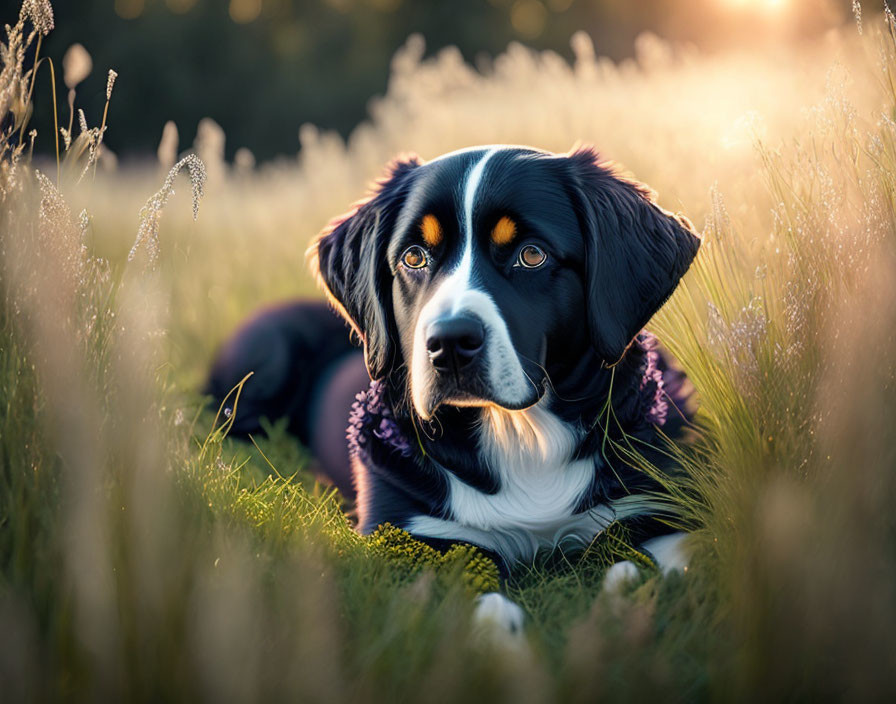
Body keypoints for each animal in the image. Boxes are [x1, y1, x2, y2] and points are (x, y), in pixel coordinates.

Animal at [208, 143, 700, 632]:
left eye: (531, 255)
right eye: (413, 257)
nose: (448, 343)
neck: (520, 437)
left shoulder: (656, 507)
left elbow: (662, 566)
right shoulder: (410, 534)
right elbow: (477, 602)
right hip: (265, 356)